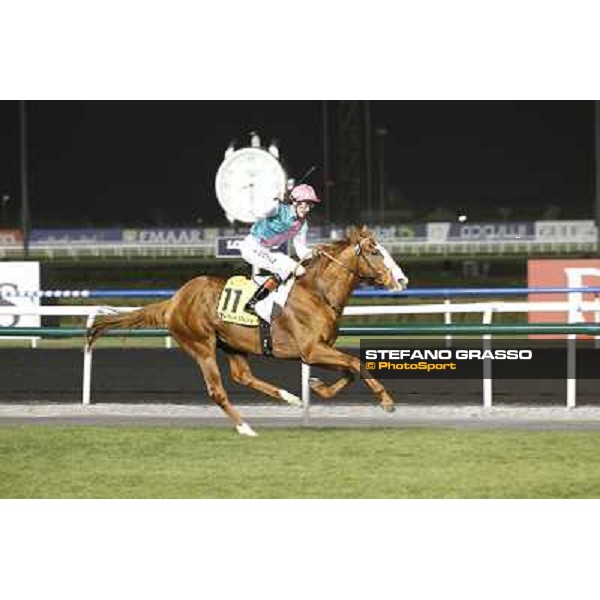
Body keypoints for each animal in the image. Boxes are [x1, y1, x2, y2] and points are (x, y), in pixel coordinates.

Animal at [88, 225, 408, 436]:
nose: (402, 280)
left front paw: (317, 386)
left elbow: (350, 370)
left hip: (231, 343)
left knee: (242, 376)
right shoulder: (311, 349)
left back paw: (289, 398)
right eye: (374, 251)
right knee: (217, 390)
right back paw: (245, 427)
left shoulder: (320, 349)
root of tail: (175, 300)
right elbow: (355, 362)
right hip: (201, 346)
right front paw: (387, 402)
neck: (317, 292)